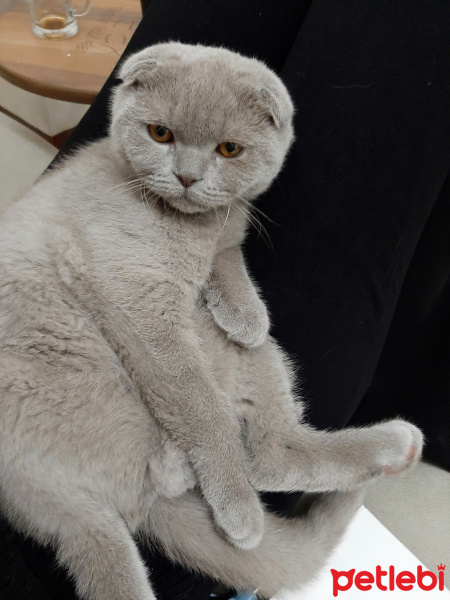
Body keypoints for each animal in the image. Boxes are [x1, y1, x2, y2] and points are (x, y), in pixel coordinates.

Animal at [0, 43, 422, 600]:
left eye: (229, 149)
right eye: (160, 134)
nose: (186, 176)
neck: (189, 227)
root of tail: (69, 509)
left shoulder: (227, 232)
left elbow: (231, 256)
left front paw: (247, 314)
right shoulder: (142, 303)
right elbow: (201, 407)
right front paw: (237, 507)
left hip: (251, 361)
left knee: (272, 451)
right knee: (238, 446)